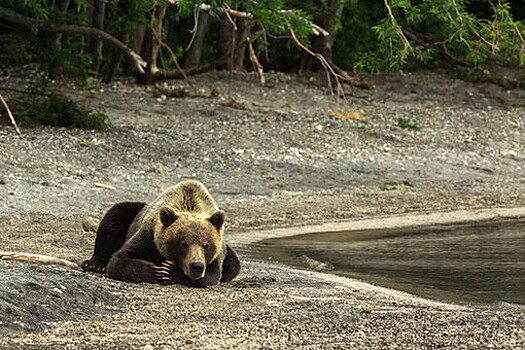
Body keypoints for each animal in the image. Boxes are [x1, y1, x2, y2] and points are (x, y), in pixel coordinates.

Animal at [81, 180, 241, 288]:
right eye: (183, 243)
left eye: (206, 245)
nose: (197, 266)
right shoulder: (149, 237)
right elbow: (119, 259)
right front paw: (154, 270)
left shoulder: (217, 255)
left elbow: (211, 276)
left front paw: (170, 270)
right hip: (133, 215)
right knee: (115, 215)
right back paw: (95, 264)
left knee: (234, 264)